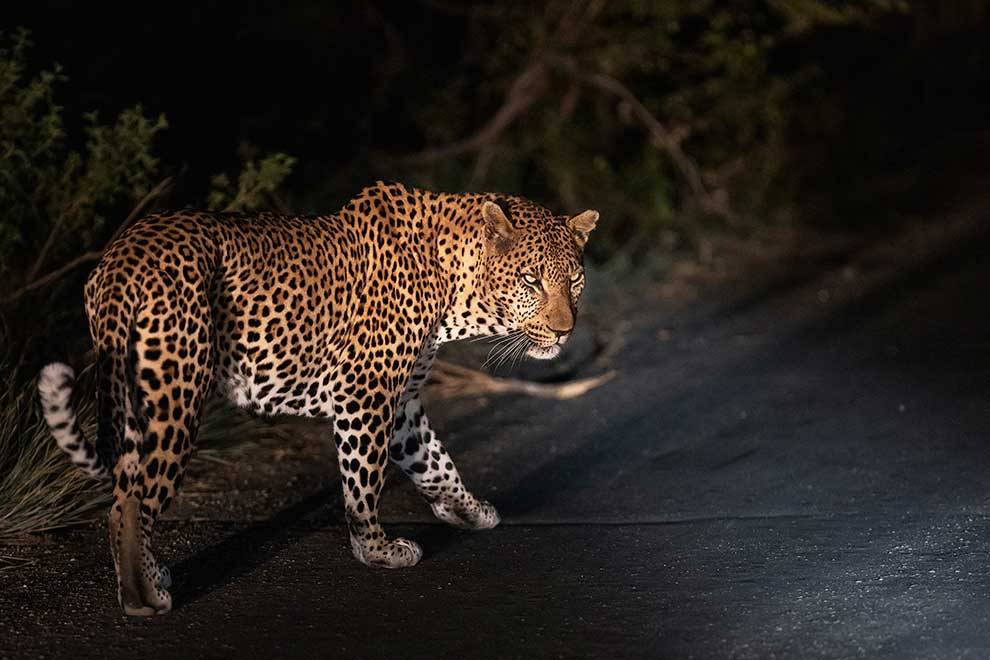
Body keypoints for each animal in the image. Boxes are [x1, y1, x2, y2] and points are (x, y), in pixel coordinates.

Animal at [37, 180, 598, 616]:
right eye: (530, 280)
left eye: (574, 280)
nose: (564, 331)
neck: (452, 288)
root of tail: (121, 258)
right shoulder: (366, 393)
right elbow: (364, 483)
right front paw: (377, 550)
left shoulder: (403, 404)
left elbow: (437, 462)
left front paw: (470, 511)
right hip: (177, 392)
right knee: (131, 501)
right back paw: (142, 599)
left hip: (137, 392)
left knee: (126, 489)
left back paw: (151, 575)